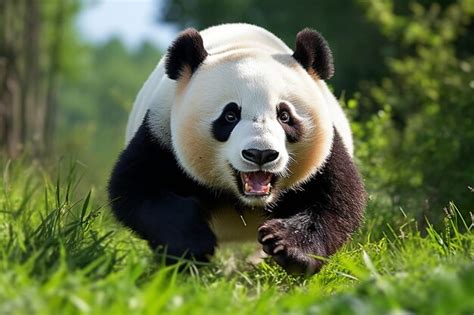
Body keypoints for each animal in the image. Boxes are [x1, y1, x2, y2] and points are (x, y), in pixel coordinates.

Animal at [108, 24, 366, 276]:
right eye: (230, 115)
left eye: (284, 116)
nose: (261, 154)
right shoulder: (162, 133)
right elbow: (137, 190)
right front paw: (193, 245)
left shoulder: (326, 151)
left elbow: (336, 202)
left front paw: (288, 247)